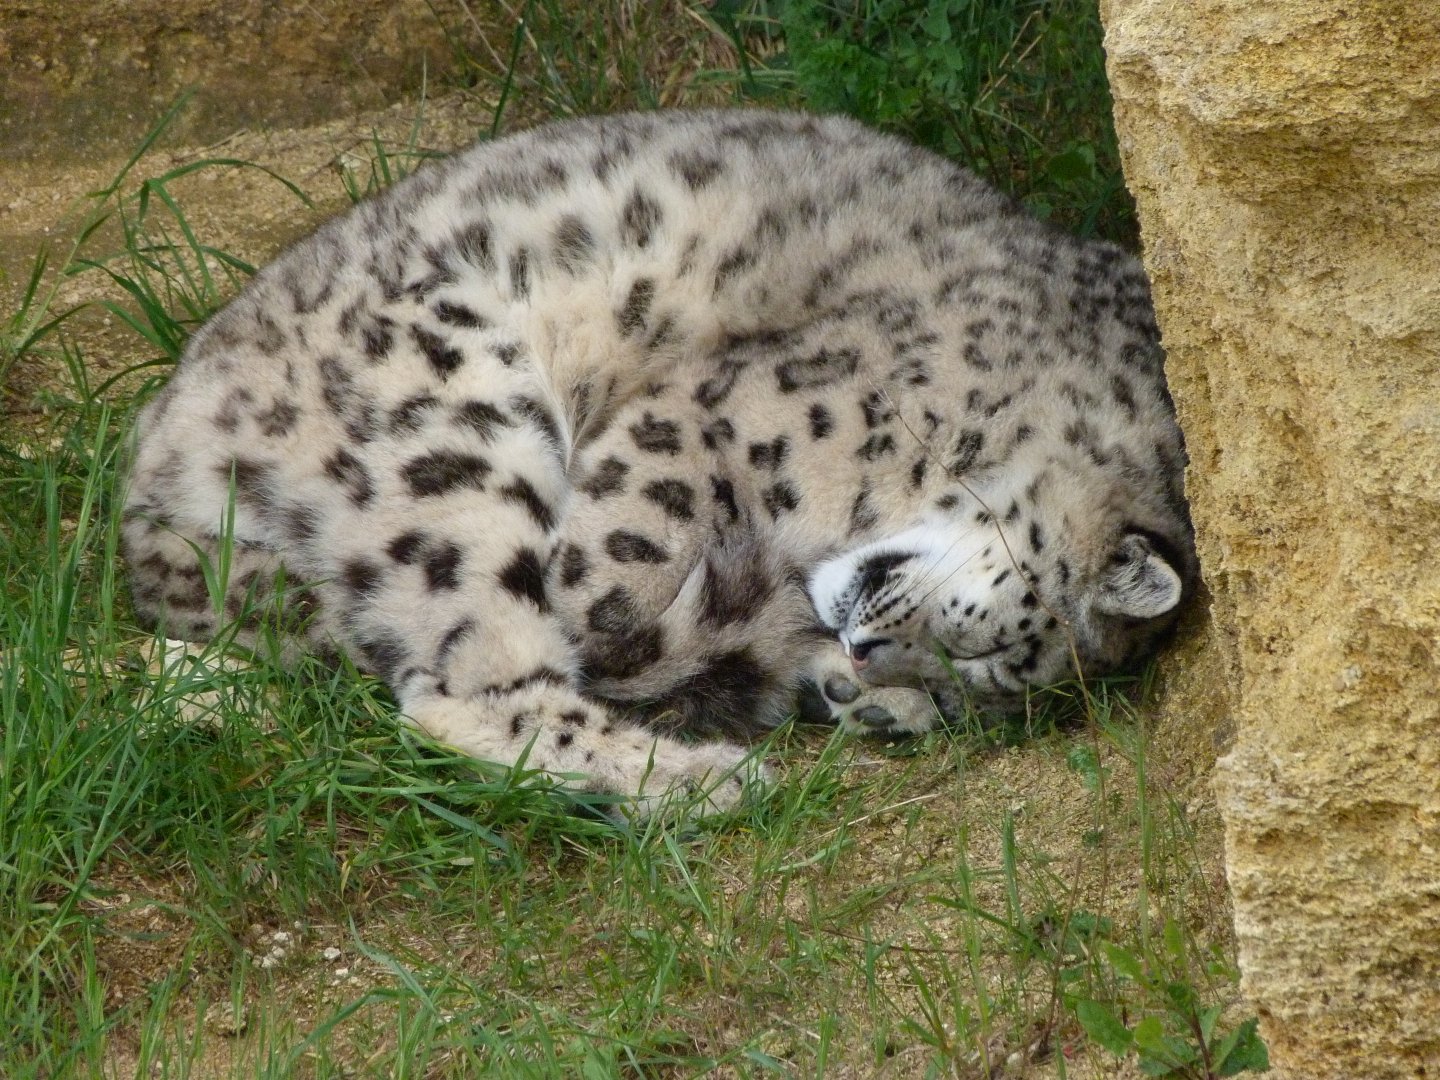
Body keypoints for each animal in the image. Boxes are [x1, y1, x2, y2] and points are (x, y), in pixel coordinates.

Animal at [122, 109, 1196, 819]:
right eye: (978, 644)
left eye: (972, 680)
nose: (859, 650)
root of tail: (149, 479)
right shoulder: (729, 408)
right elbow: (618, 572)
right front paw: (636, 618)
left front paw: (860, 695)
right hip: (450, 433)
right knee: (467, 691)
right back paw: (707, 780)